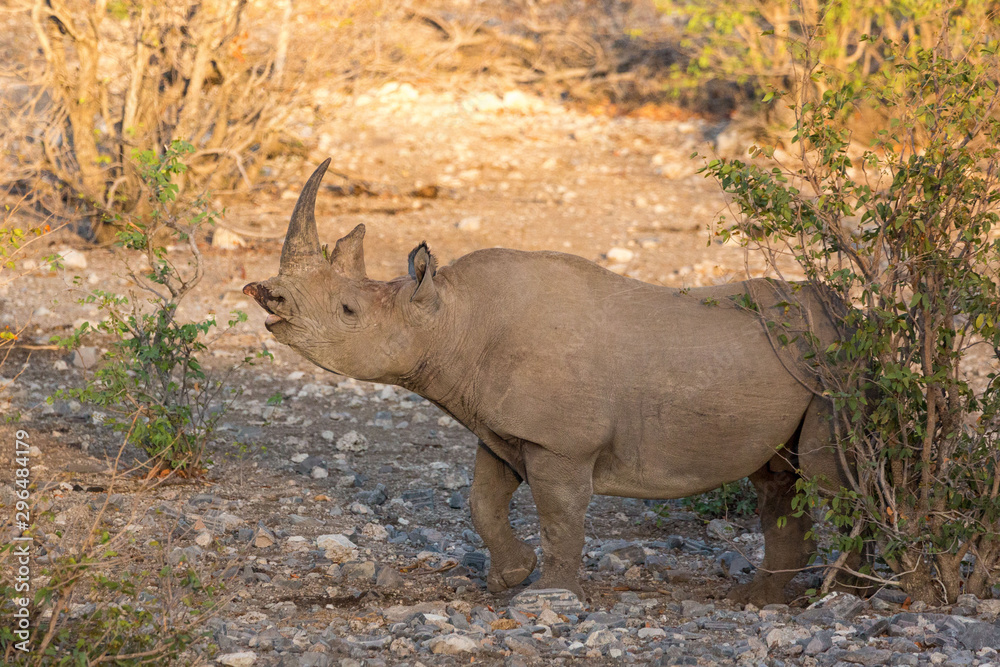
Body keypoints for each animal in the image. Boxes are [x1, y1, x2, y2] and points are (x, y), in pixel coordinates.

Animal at [244, 159, 852, 604]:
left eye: (347, 310)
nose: (266, 297)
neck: (450, 319)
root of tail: (854, 315)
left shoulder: (560, 442)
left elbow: (559, 515)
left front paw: (549, 596)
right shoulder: (500, 427)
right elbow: (482, 502)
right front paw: (511, 578)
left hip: (833, 367)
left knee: (826, 476)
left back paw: (843, 594)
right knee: (779, 483)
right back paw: (760, 600)